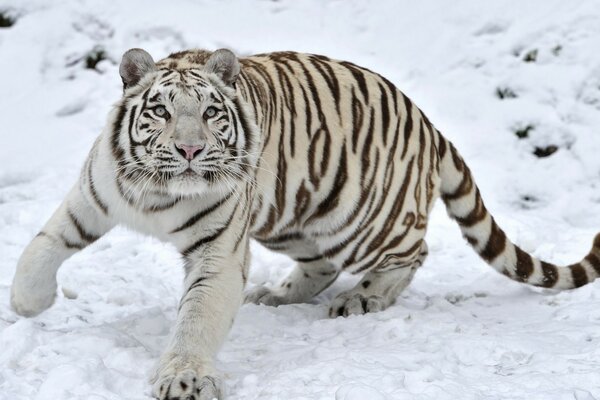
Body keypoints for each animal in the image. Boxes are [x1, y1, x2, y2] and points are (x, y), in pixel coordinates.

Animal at [10, 48, 600, 398]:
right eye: (160, 111)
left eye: (210, 113)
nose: (190, 150)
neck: (159, 191)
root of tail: (429, 123)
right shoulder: (93, 197)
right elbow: (43, 244)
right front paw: (27, 304)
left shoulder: (218, 251)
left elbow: (196, 318)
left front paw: (185, 377)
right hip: (293, 217)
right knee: (321, 265)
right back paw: (277, 295)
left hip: (363, 221)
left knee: (413, 252)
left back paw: (362, 298)